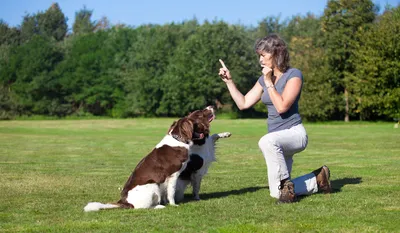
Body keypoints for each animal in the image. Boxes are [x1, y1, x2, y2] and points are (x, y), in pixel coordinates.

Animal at [84, 112, 214, 211]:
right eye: (196, 123)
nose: (205, 128)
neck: (178, 139)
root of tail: (125, 202)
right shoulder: (173, 175)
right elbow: (171, 192)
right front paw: (173, 204)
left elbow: (166, 192)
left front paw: (166, 201)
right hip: (152, 185)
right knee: (142, 208)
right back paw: (159, 207)